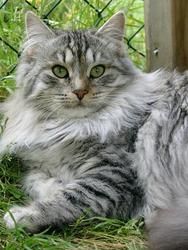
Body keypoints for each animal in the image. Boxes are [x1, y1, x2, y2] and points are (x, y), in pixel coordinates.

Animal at [1, 10, 188, 249]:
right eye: (59, 71)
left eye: (98, 71)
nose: (80, 92)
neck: (72, 126)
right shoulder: (39, 164)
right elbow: (34, 180)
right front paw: (54, 185)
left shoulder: (114, 175)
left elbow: (71, 197)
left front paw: (21, 215)